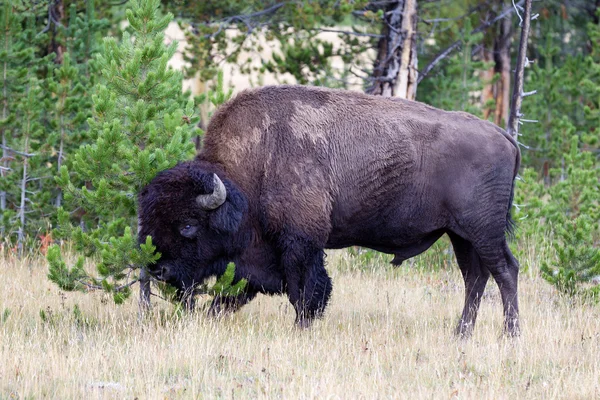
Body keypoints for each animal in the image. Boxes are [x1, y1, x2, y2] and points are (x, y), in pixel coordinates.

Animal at [139, 85, 520, 338]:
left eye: (188, 225)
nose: (158, 269)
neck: (255, 164)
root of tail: (503, 135)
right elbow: (240, 292)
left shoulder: (300, 243)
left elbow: (305, 290)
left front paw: (302, 327)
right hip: (460, 235)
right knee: (475, 277)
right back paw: (462, 333)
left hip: (482, 231)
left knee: (504, 271)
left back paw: (510, 334)